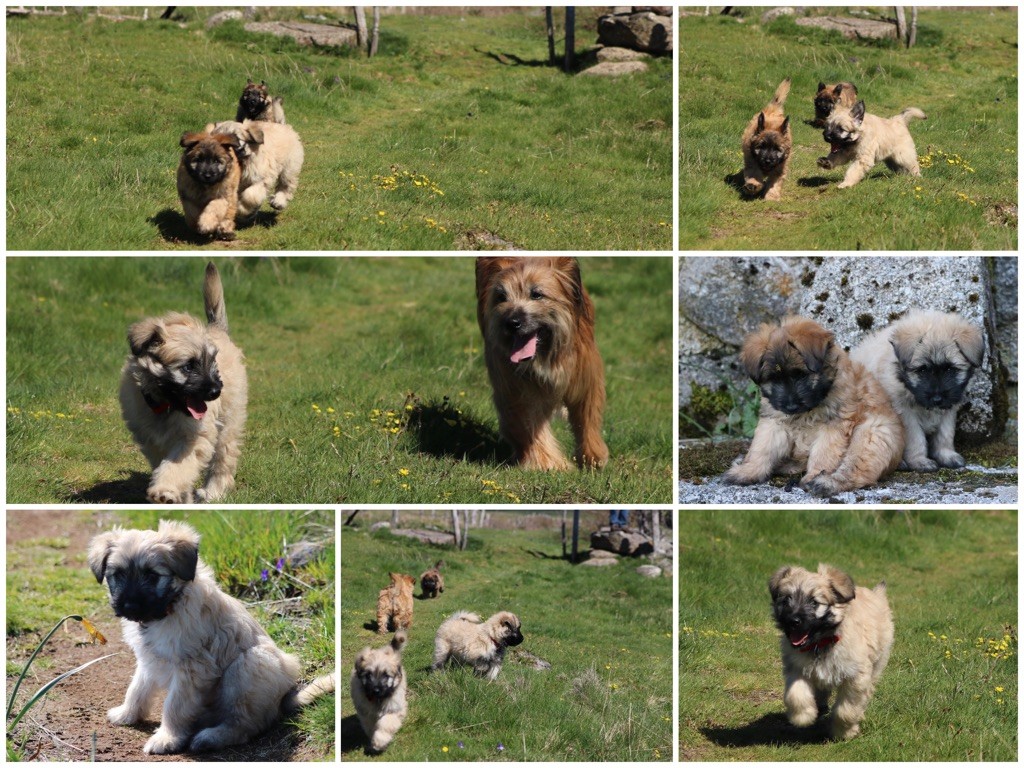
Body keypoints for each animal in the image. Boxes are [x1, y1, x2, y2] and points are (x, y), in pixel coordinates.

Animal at [88, 520, 335, 753]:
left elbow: (174, 706)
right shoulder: (149, 660)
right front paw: (126, 714)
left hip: (248, 666)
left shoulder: (192, 669)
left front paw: (166, 738)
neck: (170, 606)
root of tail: (284, 697)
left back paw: (210, 737)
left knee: (245, 725)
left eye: (152, 575)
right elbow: (137, 689)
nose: (129, 606)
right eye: (118, 575)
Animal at [477, 259, 610, 473]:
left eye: (537, 294)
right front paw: (548, 463)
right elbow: (527, 422)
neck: (544, 357)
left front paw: (593, 457)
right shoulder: (513, 385)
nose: (511, 322)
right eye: (501, 297)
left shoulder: (584, 377)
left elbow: (587, 416)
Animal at [720, 315, 905, 495]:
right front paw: (748, 471)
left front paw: (814, 475)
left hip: (873, 433)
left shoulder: (834, 426)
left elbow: (824, 454)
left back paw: (825, 483)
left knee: (855, 471)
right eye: (773, 378)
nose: (791, 406)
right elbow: (762, 448)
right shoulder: (773, 421)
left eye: (800, 375)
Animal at [770, 565, 892, 741]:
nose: (793, 621)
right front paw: (803, 716)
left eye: (814, 602)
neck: (820, 642)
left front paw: (845, 732)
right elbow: (795, 694)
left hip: (878, 662)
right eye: (786, 600)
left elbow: (846, 709)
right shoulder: (796, 668)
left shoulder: (856, 676)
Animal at [847, 309, 983, 473]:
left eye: (950, 369)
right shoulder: (906, 415)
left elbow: (945, 434)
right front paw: (919, 461)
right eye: (922, 370)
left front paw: (946, 455)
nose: (937, 399)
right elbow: (916, 439)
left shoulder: (948, 409)